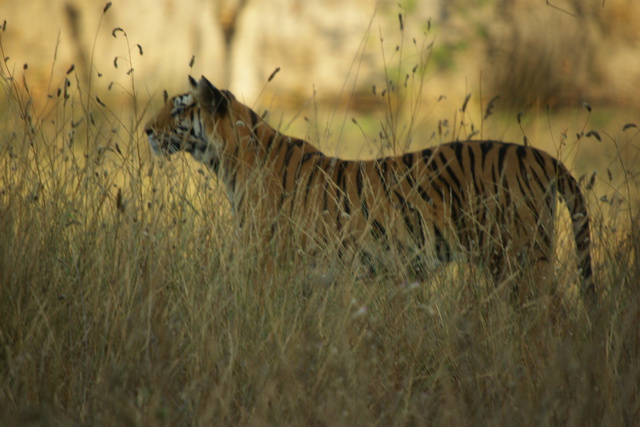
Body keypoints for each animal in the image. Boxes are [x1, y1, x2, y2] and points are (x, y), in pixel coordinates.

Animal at [144, 77, 596, 310]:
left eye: (180, 108)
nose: (146, 130)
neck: (230, 160)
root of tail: (541, 155)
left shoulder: (267, 263)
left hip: (523, 259)